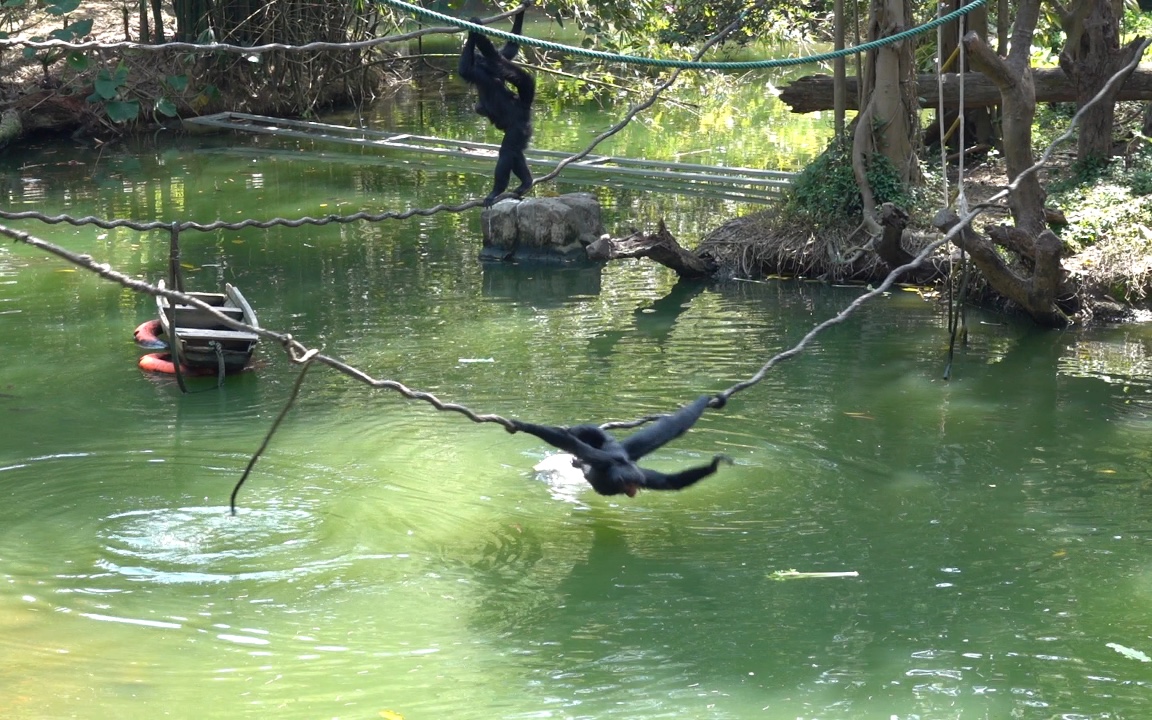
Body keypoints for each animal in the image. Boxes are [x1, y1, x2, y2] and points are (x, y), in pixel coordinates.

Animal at [458, 11, 534, 207]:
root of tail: (523, 106)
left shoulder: (476, 72)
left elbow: (465, 69)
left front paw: (473, 29)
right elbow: (508, 51)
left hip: (518, 127)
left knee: (507, 151)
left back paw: (497, 190)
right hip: (524, 130)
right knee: (516, 152)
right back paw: (526, 182)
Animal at [506, 393, 728, 493]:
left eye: (636, 484)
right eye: (629, 484)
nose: (635, 490)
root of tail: (617, 450)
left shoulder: (644, 476)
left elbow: (670, 481)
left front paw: (713, 465)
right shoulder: (602, 461)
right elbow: (563, 439)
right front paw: (523, 425)